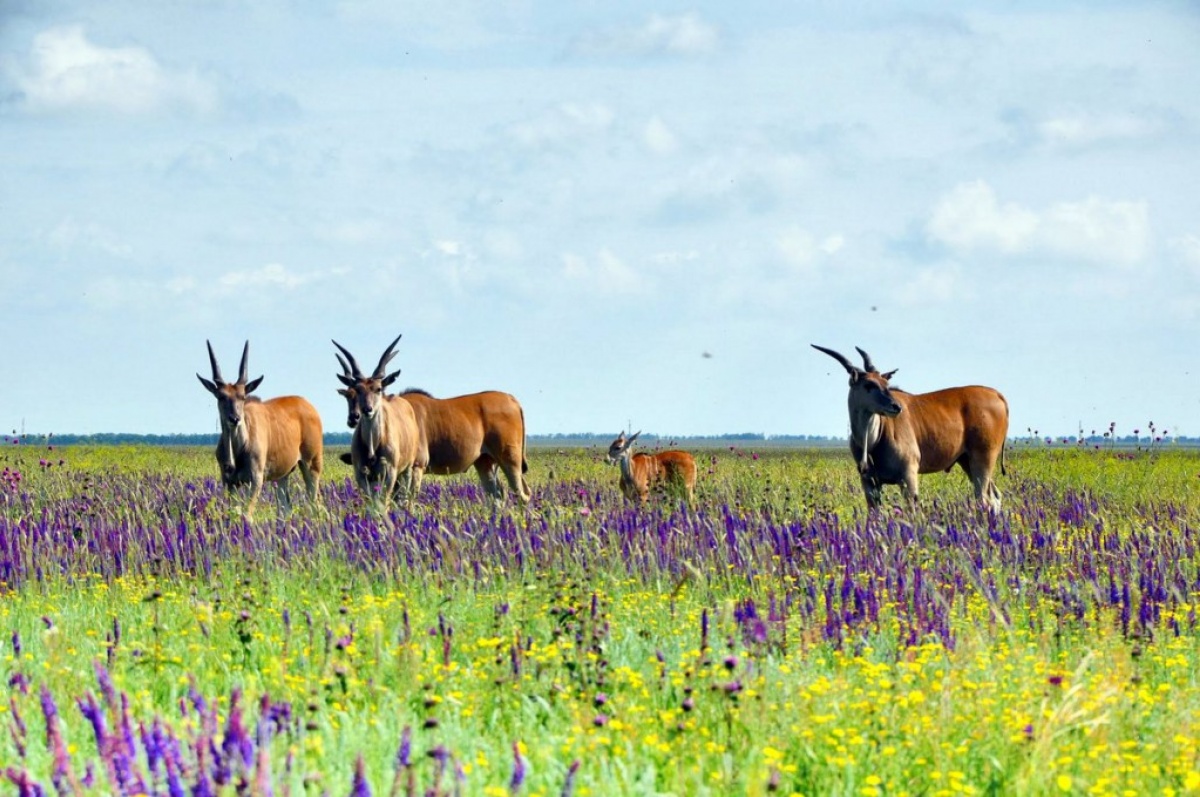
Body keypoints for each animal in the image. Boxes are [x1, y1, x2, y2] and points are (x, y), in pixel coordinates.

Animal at [194, 338, 324, 513]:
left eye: (242, 396)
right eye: (221, 396)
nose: (234, 419)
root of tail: (310, 406)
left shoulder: (255, 480)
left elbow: (247, 514)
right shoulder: (230, 483)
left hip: (312, 465)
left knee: (315, 503)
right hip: (283, 475)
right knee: (286, 507)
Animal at [333, 333, 422, 511]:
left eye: (378, 388)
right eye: (358, 389)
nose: (367, 409)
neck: (372, 447)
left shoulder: (389, 472)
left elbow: (384, 503)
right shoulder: (361, 473)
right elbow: (371, 504)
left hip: (407, 468)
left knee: (405, 497)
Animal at [333, 355, 530, 504]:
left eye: (377, 390)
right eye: (349, 395)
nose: (355, 417)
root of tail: (512, 399)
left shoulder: (414, 467)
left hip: (510, 459)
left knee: (523, 494)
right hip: (485, 462)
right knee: (498, 495)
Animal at [811, 343, 1008, 511]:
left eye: (886, 384)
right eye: (869, 384)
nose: (896, 406)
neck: (872, 440)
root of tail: (997, 394)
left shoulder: (908, 477)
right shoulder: (869, 482)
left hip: (983, 459)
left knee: (984, 498)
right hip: (966, 460)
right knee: (994, 496)